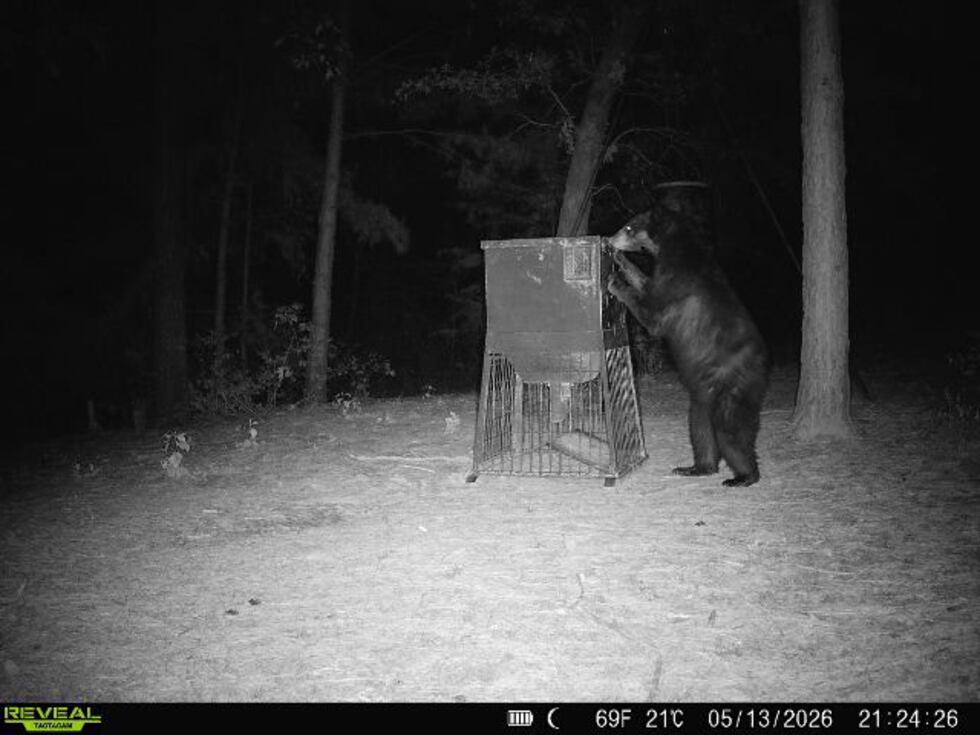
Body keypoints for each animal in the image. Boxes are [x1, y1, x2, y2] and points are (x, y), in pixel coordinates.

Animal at [605, 186, 769, 487]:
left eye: (629, 226)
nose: (610, 239)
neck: (674, 249)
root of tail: (763, 367)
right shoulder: (661, 276)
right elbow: (645, 281)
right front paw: (623, 262)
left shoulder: (677, 287)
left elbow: (652, 313)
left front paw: (617, 282)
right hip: (702, 396)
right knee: (700, 429)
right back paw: (696, 467)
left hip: (733, 388)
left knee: (731, 431)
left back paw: (743, 476)